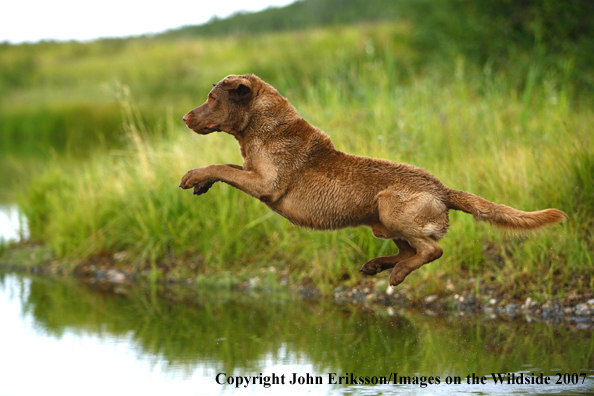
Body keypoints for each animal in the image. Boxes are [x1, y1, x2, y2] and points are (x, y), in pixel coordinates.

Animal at [179, 73, 564, 284]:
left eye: (212, 98)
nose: (184, 117)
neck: (260, 126)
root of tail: (442, 189)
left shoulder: (265, 185)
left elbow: (224, 167)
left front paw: (192, 175)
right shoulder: (253, 172)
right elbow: (229, 165)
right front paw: (201, 183)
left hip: (392, 208)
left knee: (432, 249)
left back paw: (395, 273)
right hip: (381, 222)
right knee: (409, 248)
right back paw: (377, 265)